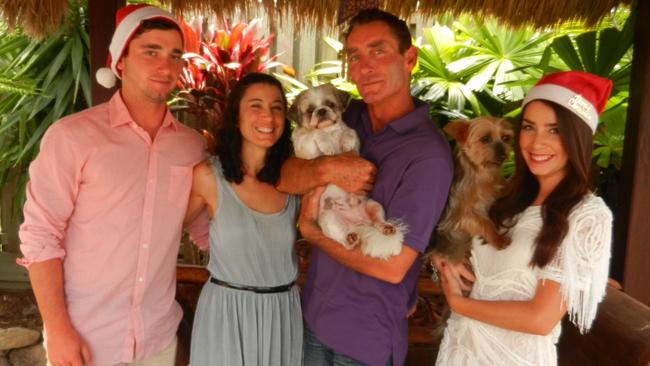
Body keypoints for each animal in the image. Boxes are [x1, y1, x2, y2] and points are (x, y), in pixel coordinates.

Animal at [288, 84, 402, 258]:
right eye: (310, 110)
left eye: (330, 104)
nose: (321, 111)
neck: (329, 130)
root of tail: (359, 223)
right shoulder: (305, 149)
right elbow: (315, 132)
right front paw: (327, 145)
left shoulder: (354, 142)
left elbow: (349, 132)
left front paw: (346, 141)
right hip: (329, 219)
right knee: (344, 239)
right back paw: (349, 238)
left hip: (374, 205)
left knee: (377, 221)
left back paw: (385, 227)